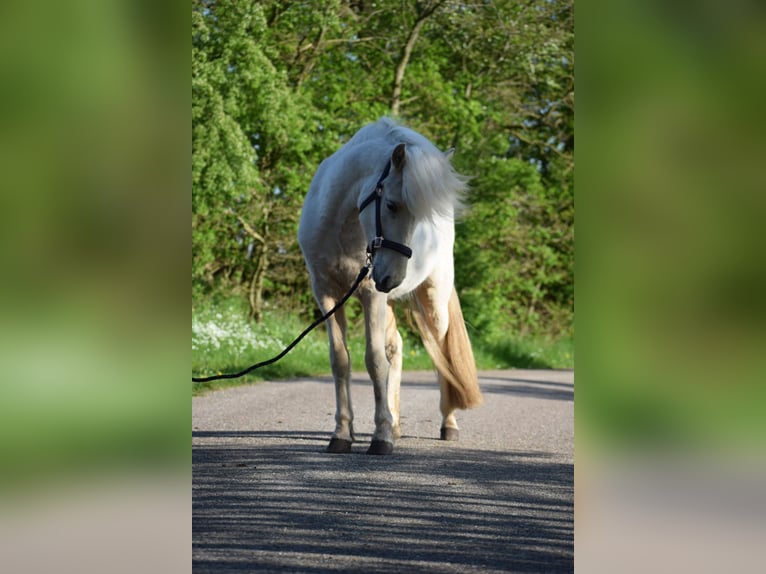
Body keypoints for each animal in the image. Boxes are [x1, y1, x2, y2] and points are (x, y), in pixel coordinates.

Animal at [296, 117, 484, 456]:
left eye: (420, 215)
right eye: (392, 205)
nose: (392, 278)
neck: (341, 226)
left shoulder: (371, 295)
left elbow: (375, 362)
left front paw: (380, 437)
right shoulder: (327, 294)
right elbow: (340, 360)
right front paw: (342, 433)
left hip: (431, 299)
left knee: (442, 353)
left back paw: (448, 424)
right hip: (388, 300)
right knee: (395, 348)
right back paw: (395, 424)